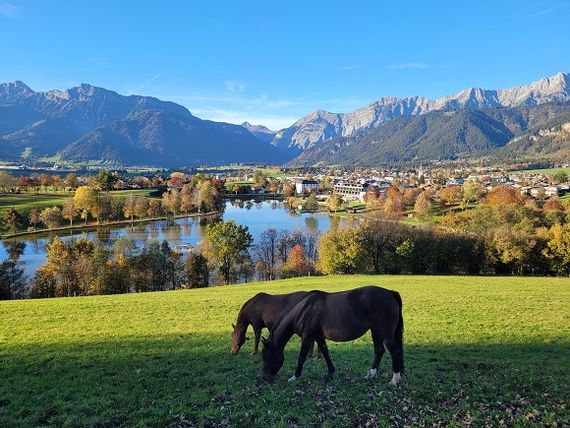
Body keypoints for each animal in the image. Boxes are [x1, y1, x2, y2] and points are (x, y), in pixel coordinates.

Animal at [260, 288, 402, 384]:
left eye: (266, 356)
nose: (266, 378)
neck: (304, 310)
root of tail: (390, 292)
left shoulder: (307, 337)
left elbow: (301, 357)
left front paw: (294, 377)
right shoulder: (318, 336)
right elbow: (325, 352)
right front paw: (331, 373)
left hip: (385, 333)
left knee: (394, 351)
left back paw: (394, 380)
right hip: (375, 331)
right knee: (379, 351)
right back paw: (371, 375)